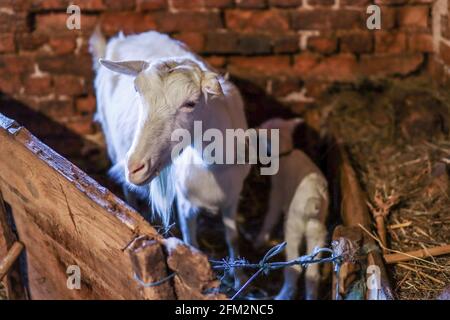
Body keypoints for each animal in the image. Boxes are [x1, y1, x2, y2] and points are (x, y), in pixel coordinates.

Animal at [87, 30, 250, 288]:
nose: (135, 167)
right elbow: (191, 242)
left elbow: (232, 237)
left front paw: (240, 279)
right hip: (113, 143)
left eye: (191, 103)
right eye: (137, 91)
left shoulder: (233, 197)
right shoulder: (185, 203)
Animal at [255, 117, 328, 300]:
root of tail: (314, 200)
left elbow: (271, 214)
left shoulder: (277, 192)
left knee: (293, 268)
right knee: (312, 274)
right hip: (317, 232)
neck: (285, 153)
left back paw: (282, 295)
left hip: (293, 228)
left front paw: (260, 239)